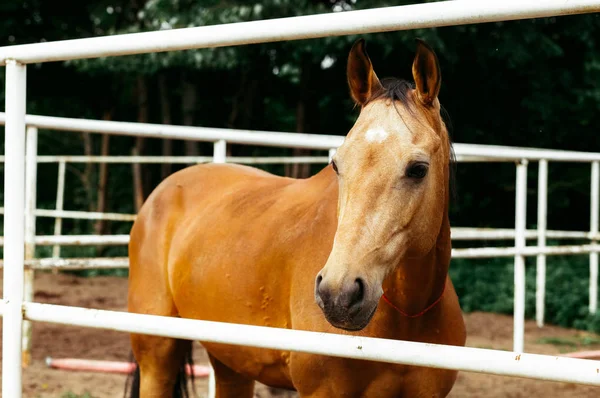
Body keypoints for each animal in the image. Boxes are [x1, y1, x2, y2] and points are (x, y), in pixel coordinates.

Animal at [126, 38, 466, 398]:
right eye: (337, 165)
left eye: (418, 169)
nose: (338, 294)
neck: (407, 316)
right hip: (158, 358)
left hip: (231, 362)